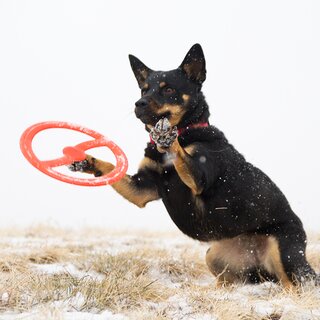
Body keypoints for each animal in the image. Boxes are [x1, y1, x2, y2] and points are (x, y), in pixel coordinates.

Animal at [70, 44, 318, 288]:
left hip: (284, 254)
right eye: (144, 90)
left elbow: (181, 154)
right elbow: (111, 167)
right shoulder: (142, 189)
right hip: (215, 256)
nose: (138, 104)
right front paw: (87, 161)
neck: (186, 131)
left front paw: (167, 136)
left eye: (168, 90)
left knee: (294, 285)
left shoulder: (199, 177)